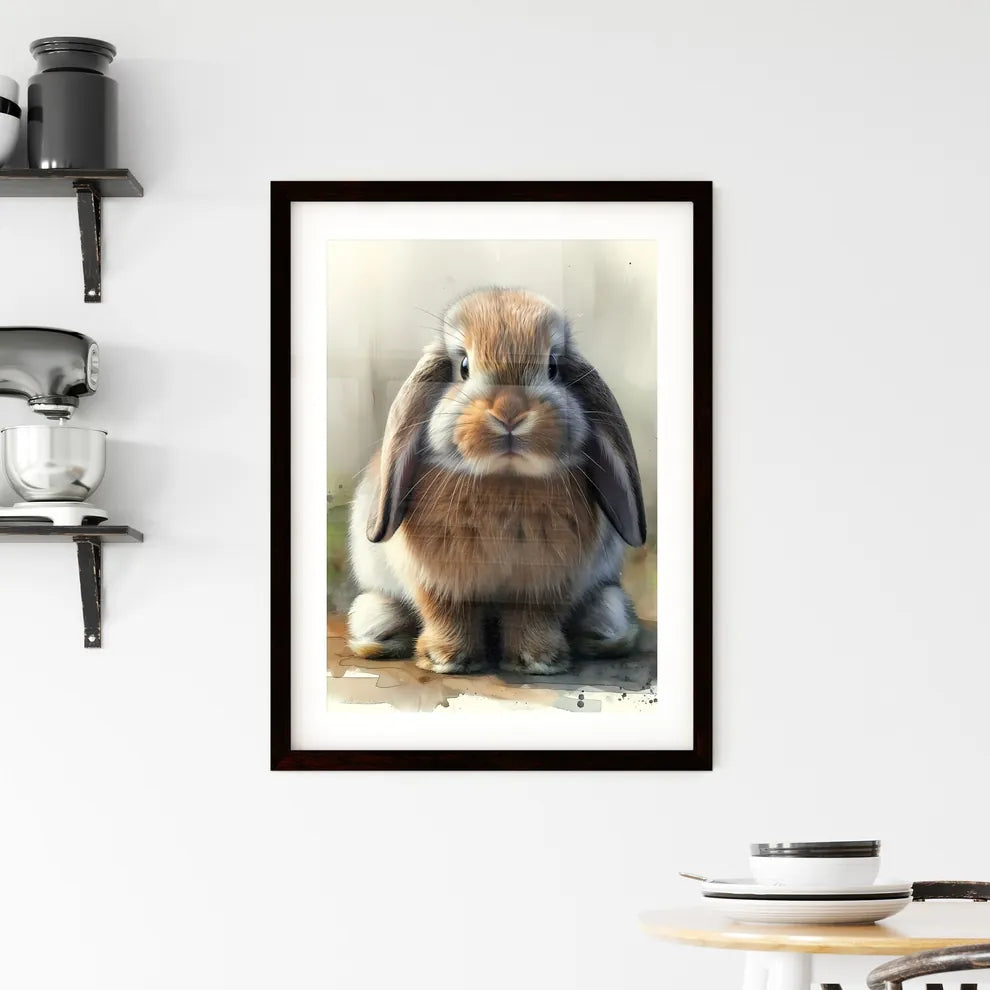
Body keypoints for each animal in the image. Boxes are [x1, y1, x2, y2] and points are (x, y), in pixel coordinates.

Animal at [347, 288, 646, 675]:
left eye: (552, 367)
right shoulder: (441, 583)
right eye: (463, 367)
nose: (510, 411)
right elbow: (447, 613)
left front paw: (538, 660)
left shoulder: (544, 583)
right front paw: (447, 659)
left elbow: (534, 616)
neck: (505, 480)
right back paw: (379, 634)